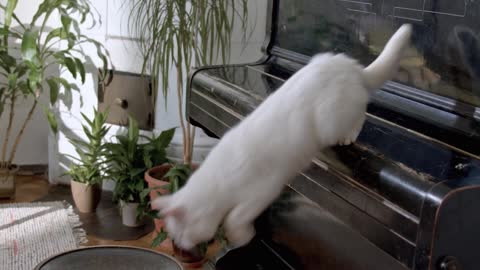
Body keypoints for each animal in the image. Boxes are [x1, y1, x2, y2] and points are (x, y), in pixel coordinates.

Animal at [154, 24, 412, 250]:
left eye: (178, 234)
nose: (178, 246)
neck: (217, 182)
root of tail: (350, 66)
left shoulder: (260, 194)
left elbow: (234, 218)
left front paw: (242, 238)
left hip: (333, 120)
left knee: (361, 114)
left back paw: (349, 135)